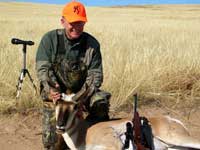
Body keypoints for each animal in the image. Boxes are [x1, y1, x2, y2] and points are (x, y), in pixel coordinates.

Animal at [54, 93, 200, 149]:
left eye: (74, 107)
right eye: (56, 105)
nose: (60, 126)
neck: (85, 132)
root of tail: (170, 119)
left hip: (176, 139)